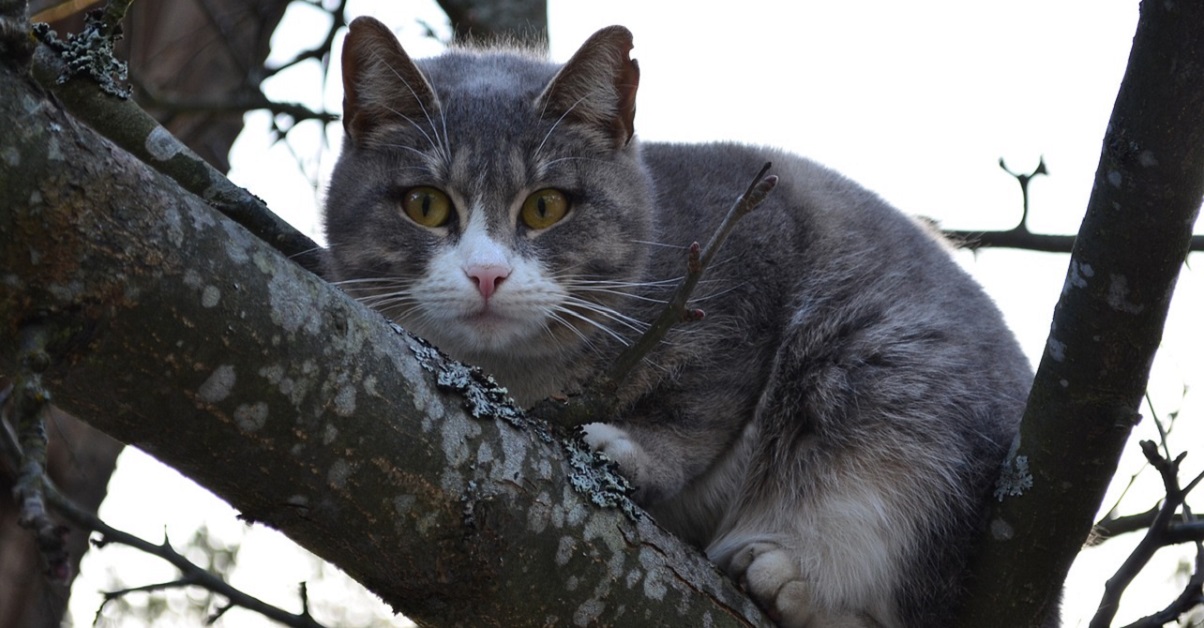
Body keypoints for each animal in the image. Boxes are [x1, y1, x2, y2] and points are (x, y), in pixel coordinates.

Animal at [320, 15, 1035, 625]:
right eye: (426, 204)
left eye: (547, 206)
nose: (487, 274)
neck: (520, 374)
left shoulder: (755, 240)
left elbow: (704, 398)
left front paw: (634, 451)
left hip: (892, 394)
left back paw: (787, 581)